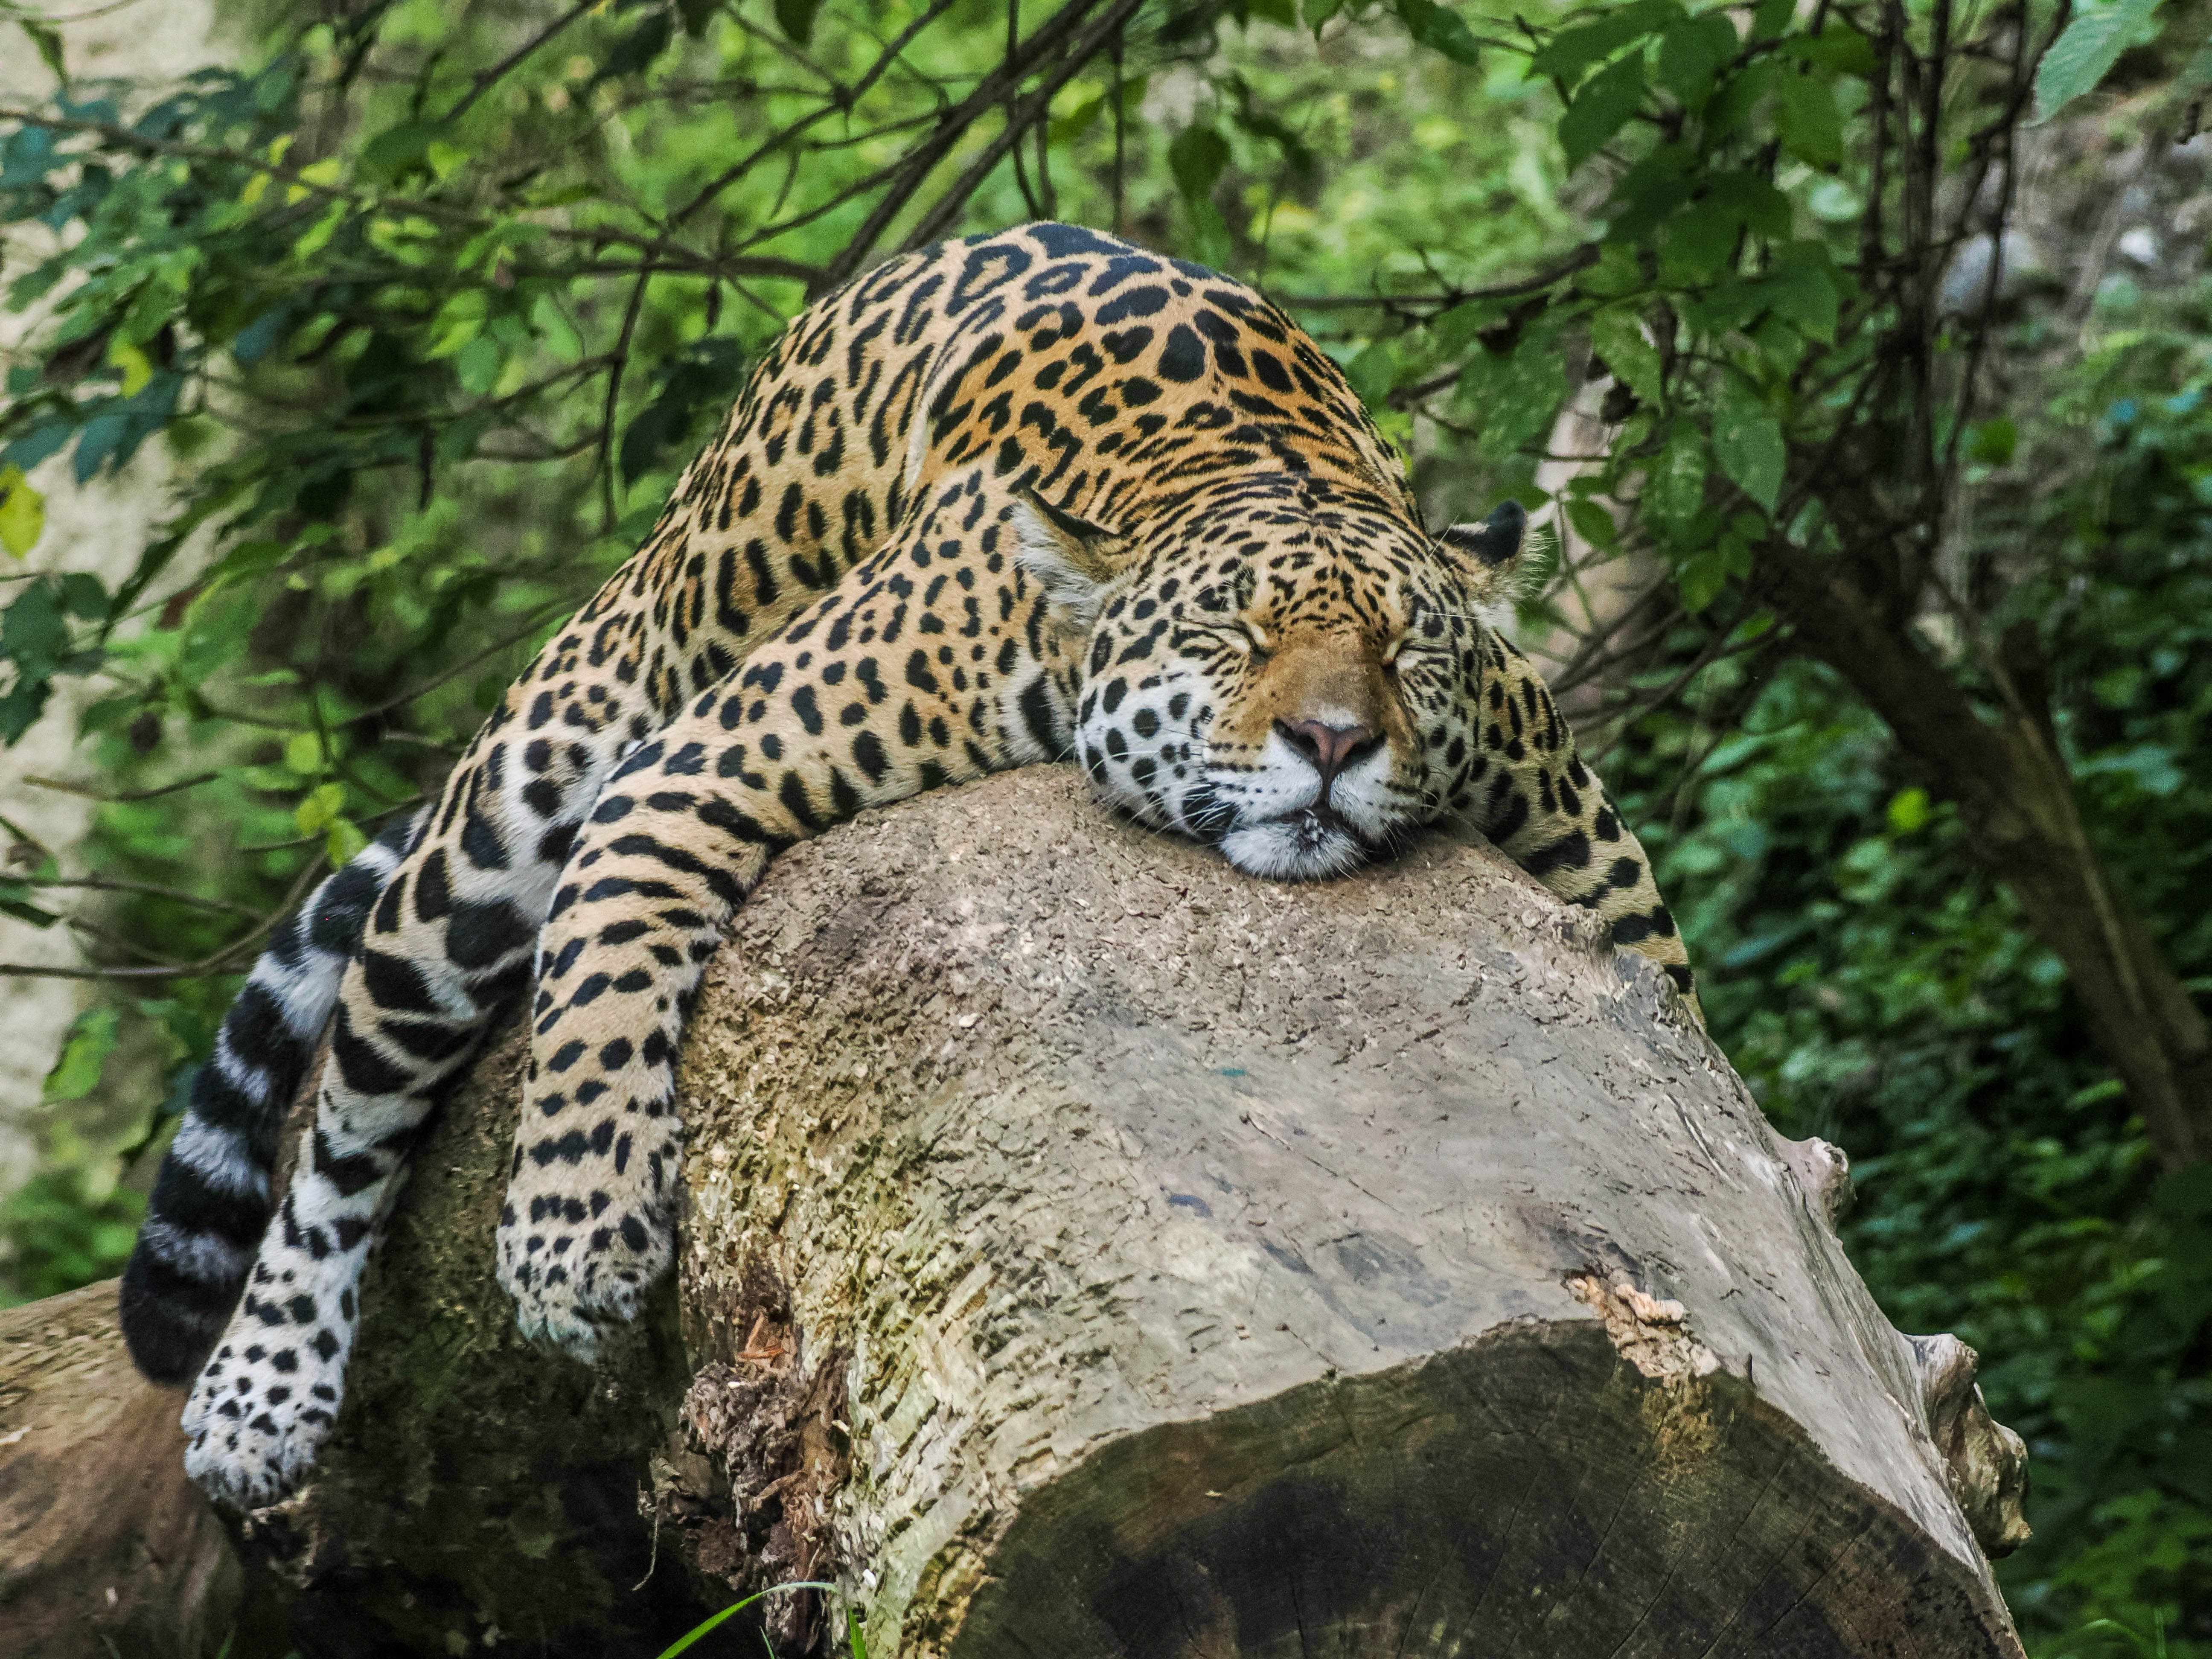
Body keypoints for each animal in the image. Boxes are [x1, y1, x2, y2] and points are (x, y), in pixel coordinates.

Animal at [118, 221, 1698, 1510]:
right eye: (1227, 637)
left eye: (1409, 650)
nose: (1332, 740)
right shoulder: (697, 762)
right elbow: (604, 983)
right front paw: (576, 1240)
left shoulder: (1573, 819)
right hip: (521, 800)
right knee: (341, 1125)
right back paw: (258, 1394)